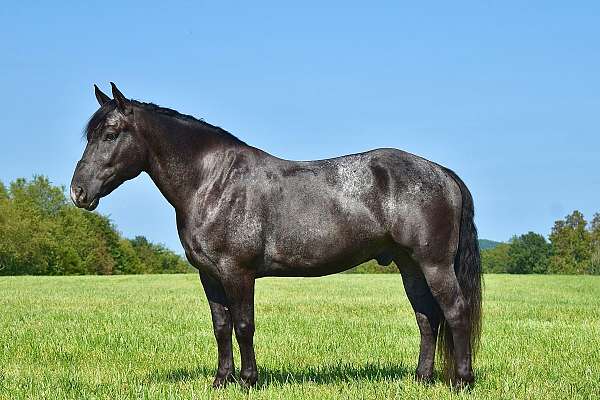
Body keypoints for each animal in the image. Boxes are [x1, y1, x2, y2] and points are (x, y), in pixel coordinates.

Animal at [70, 82, 482, 388]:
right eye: (89, 135)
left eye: (110, 134)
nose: (78, 193)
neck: (213, 182)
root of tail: (442, 172)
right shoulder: (209, 275)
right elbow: (221, 327)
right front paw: (221, 381)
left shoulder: (237, 272)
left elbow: (243, 326)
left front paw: (249, 381)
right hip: (409, 265)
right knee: (427, 318)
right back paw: (422, 379)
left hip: (433, 264)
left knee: (455, 312)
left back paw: (461, 381)